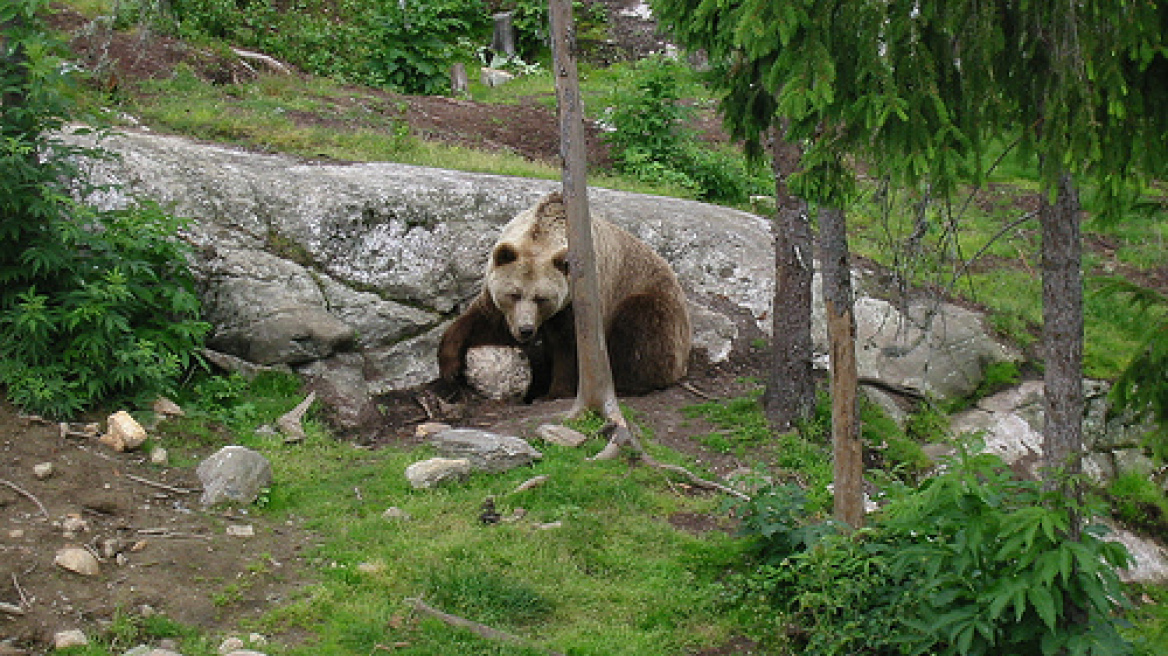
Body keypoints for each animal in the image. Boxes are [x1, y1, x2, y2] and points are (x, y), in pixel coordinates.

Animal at [439, 189, 691, 399]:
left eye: (541, 298)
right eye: (513, 294)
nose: (526, 329)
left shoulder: (579, 298)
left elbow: (571, 346)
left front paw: (557, 392)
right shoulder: (502, 301)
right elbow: (482, 322)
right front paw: (450, 367)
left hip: (649, 294)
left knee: (639, 328)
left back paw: (628, 383)